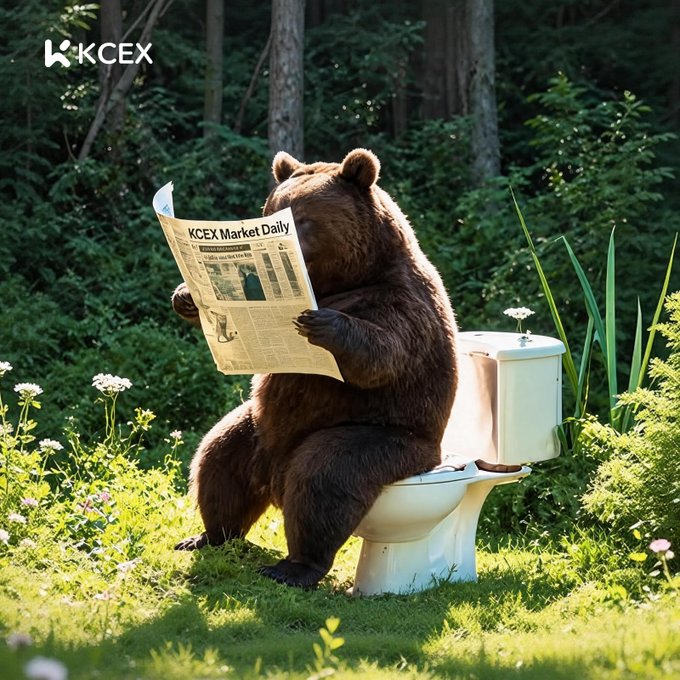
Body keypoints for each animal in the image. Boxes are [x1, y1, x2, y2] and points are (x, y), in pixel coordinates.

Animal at [171, 148, 458, 588]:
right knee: (218, 461)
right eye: (272, 210)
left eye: (303, 219)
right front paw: (187, 295)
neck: (339, 282)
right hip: (255, 430)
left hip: (379, 436)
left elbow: (382, 356)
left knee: (323, 480)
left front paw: (322, 324)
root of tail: (274, 479)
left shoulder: (403, 304)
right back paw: (207, 536)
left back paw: (292, 566)